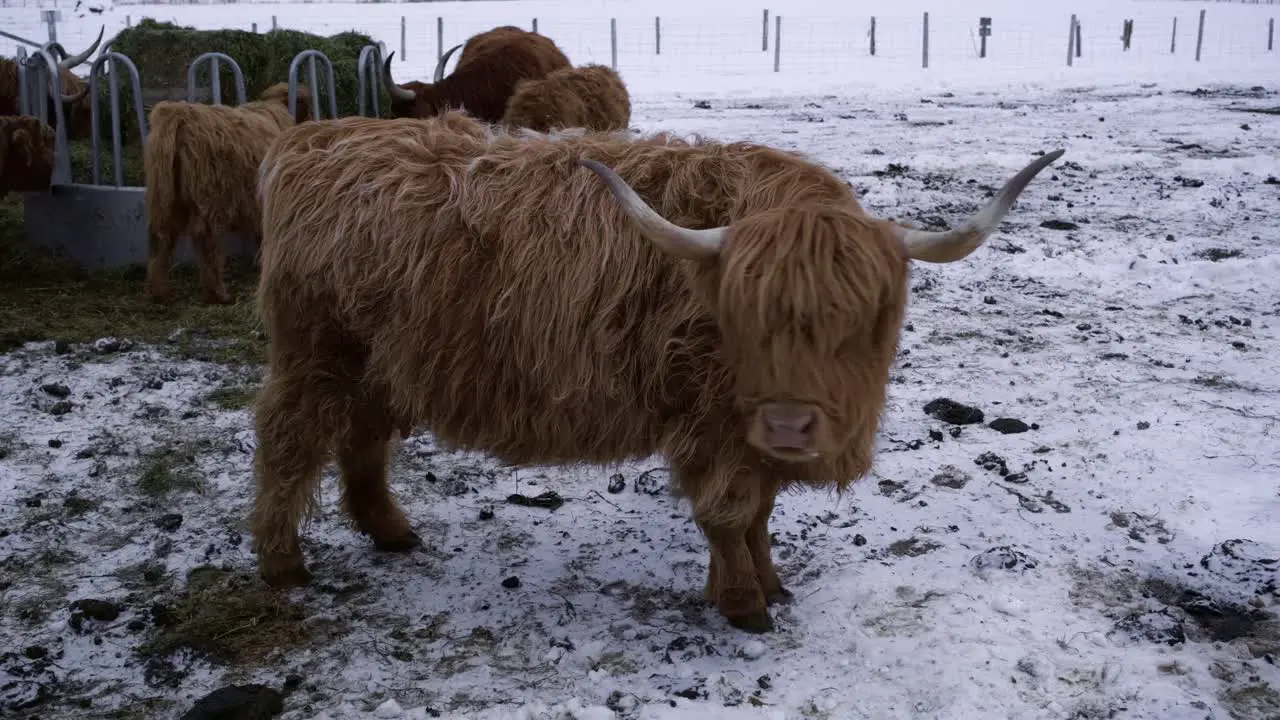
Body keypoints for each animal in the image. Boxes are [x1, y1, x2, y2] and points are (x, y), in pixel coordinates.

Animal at [143, 82, 312, 303]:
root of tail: (180, 113)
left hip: (165, 197)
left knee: (161, 237)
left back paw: (159, 291)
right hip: (210, 197)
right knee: (207, 239)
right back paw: (218, 292)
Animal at [247, 109, 1059, 630]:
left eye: (855, 321)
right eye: (746, 317)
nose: (790, 424)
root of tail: (320, 138)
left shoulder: (746, 434)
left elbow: (760, 514)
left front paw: (772, 583)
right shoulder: (712, 420)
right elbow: (728, 514)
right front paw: (744, 605)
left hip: (381, 361)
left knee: (363, 436)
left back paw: (390, 531)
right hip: (318, 350)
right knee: (290, 439)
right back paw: (284, 562)